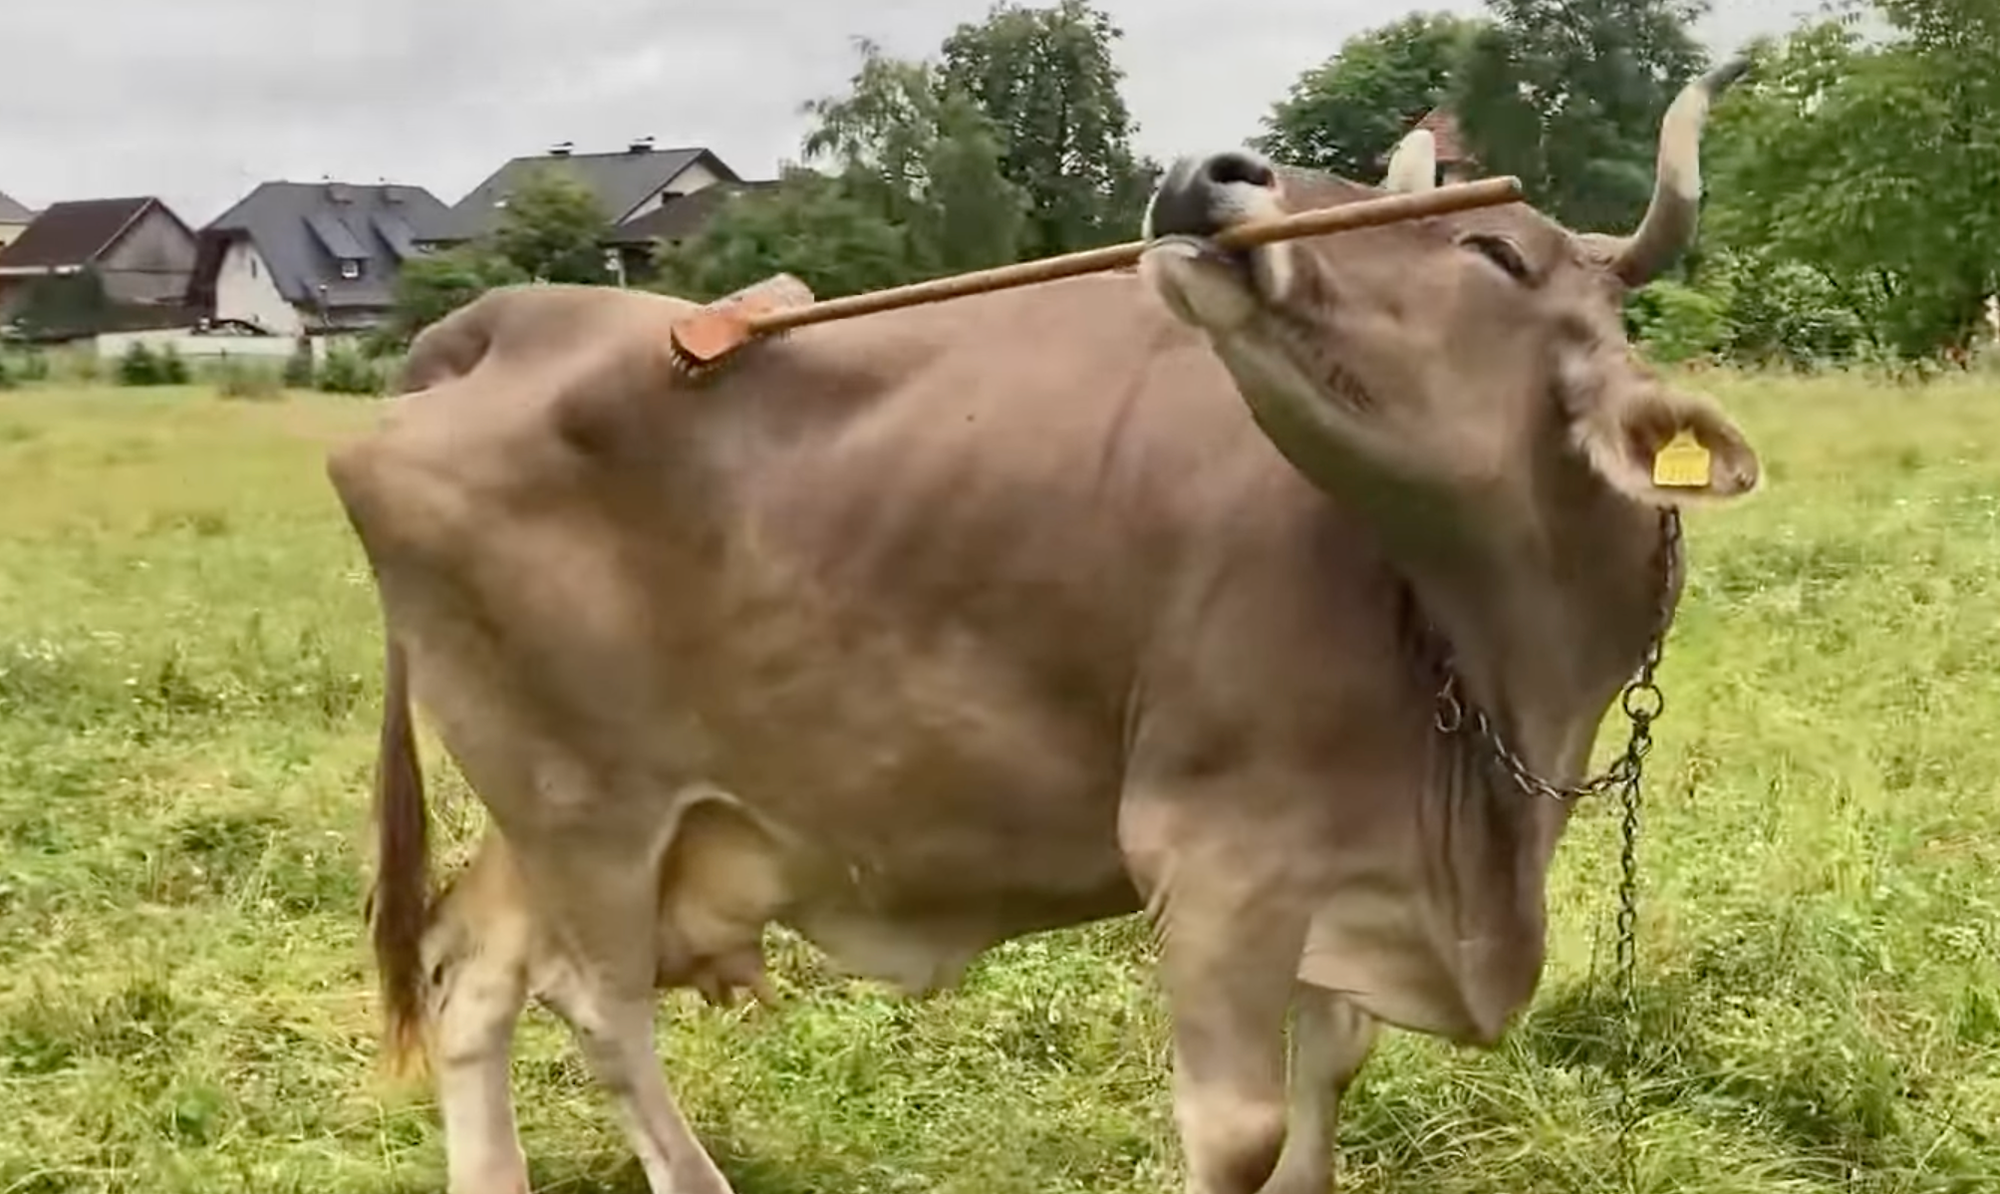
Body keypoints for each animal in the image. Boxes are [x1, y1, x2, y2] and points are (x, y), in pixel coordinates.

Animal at [326, 58, 1760, 1194]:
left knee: (472, 972)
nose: (1205, 172)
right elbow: (1239, 1133)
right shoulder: (1215, 856)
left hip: (559, 802)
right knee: (599, 1007)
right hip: (585, 806)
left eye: (1492, 251)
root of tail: (508, 315)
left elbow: (1329, 1079)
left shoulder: (1340, 873)